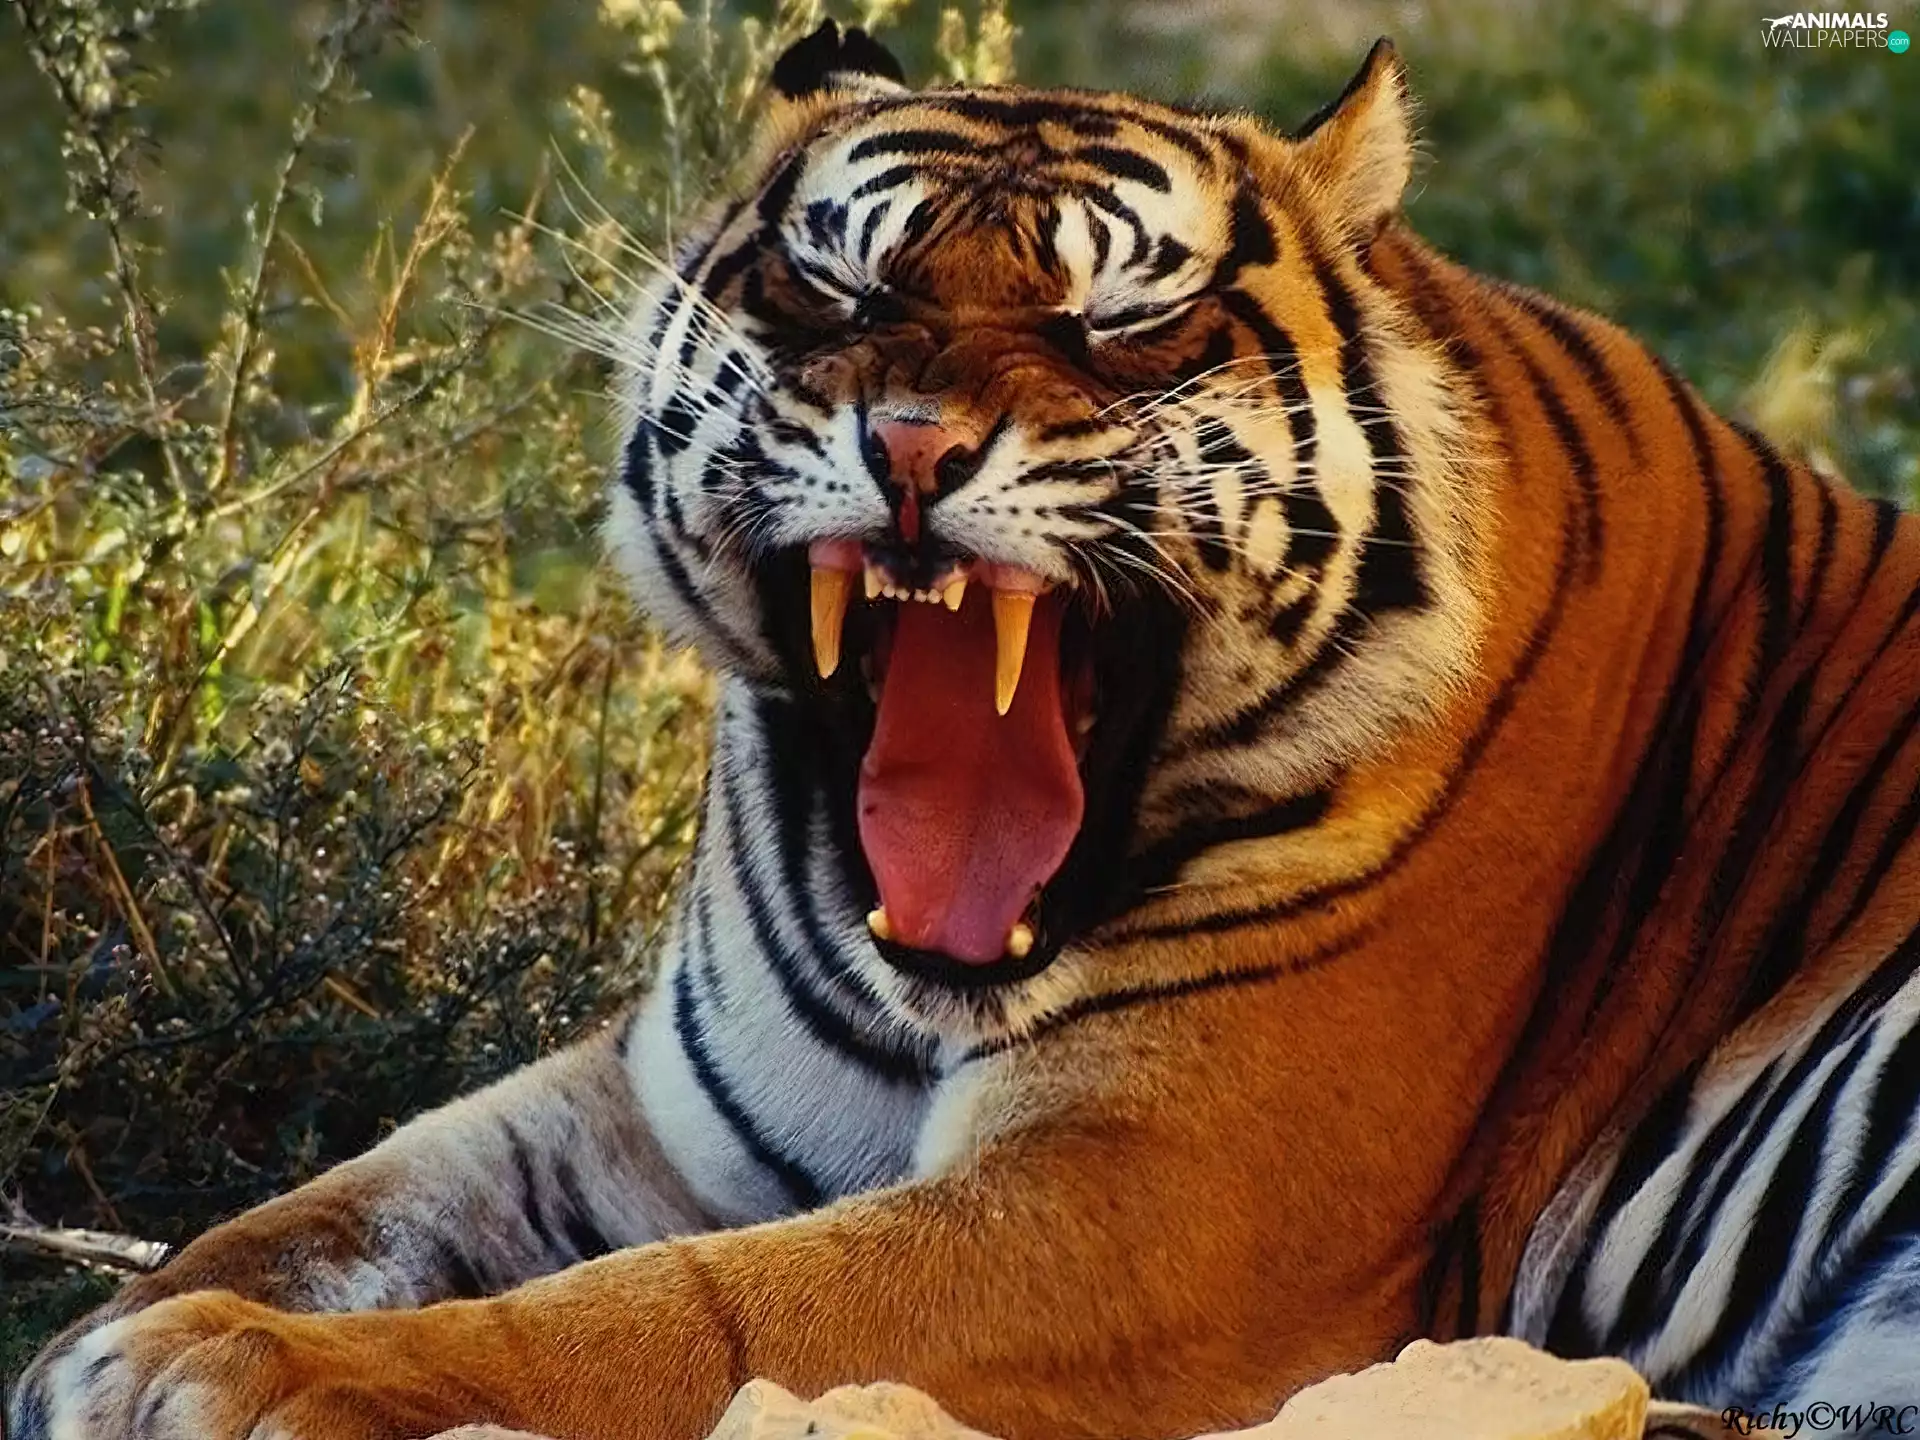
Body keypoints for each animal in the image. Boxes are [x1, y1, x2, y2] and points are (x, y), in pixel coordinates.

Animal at [12, 20, 1920, 1440]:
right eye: (837, 294)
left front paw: (222, 1368)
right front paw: (114, 1329)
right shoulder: (667, 1113)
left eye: (1123, 319)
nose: (915, 446)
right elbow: (364, 1191)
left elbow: (676, 1320)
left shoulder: (1156, 1204)